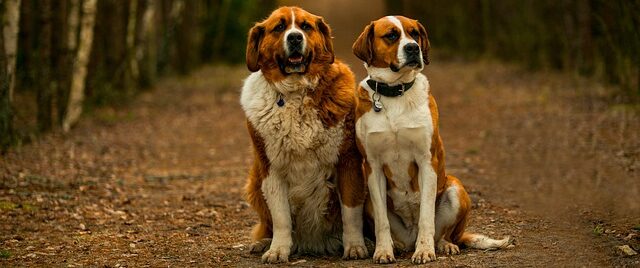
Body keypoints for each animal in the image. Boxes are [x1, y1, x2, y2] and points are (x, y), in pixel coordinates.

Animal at [240, 6, 370, 264]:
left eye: (305, 26)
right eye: (279, 27)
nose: (294, 38)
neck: (295, 92)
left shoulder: (348, 162)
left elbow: (351, 212)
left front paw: (355, 246)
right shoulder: (270, 168)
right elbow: (281, 217)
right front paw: (278, 250)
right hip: (254, 181)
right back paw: (262, 242)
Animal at [352, 15, 512, 262]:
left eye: (415, 33)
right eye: (391, 35)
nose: (412, 48)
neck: (395, 92)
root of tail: (410, 236)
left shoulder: (427, 161)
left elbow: (427, 216)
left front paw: (425, 251)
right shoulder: (372, 166)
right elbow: (381, 222)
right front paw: (383, 251)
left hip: (455, 188)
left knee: (444, 233)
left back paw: (444, 245)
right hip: (368, 197)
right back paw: (397, 246)